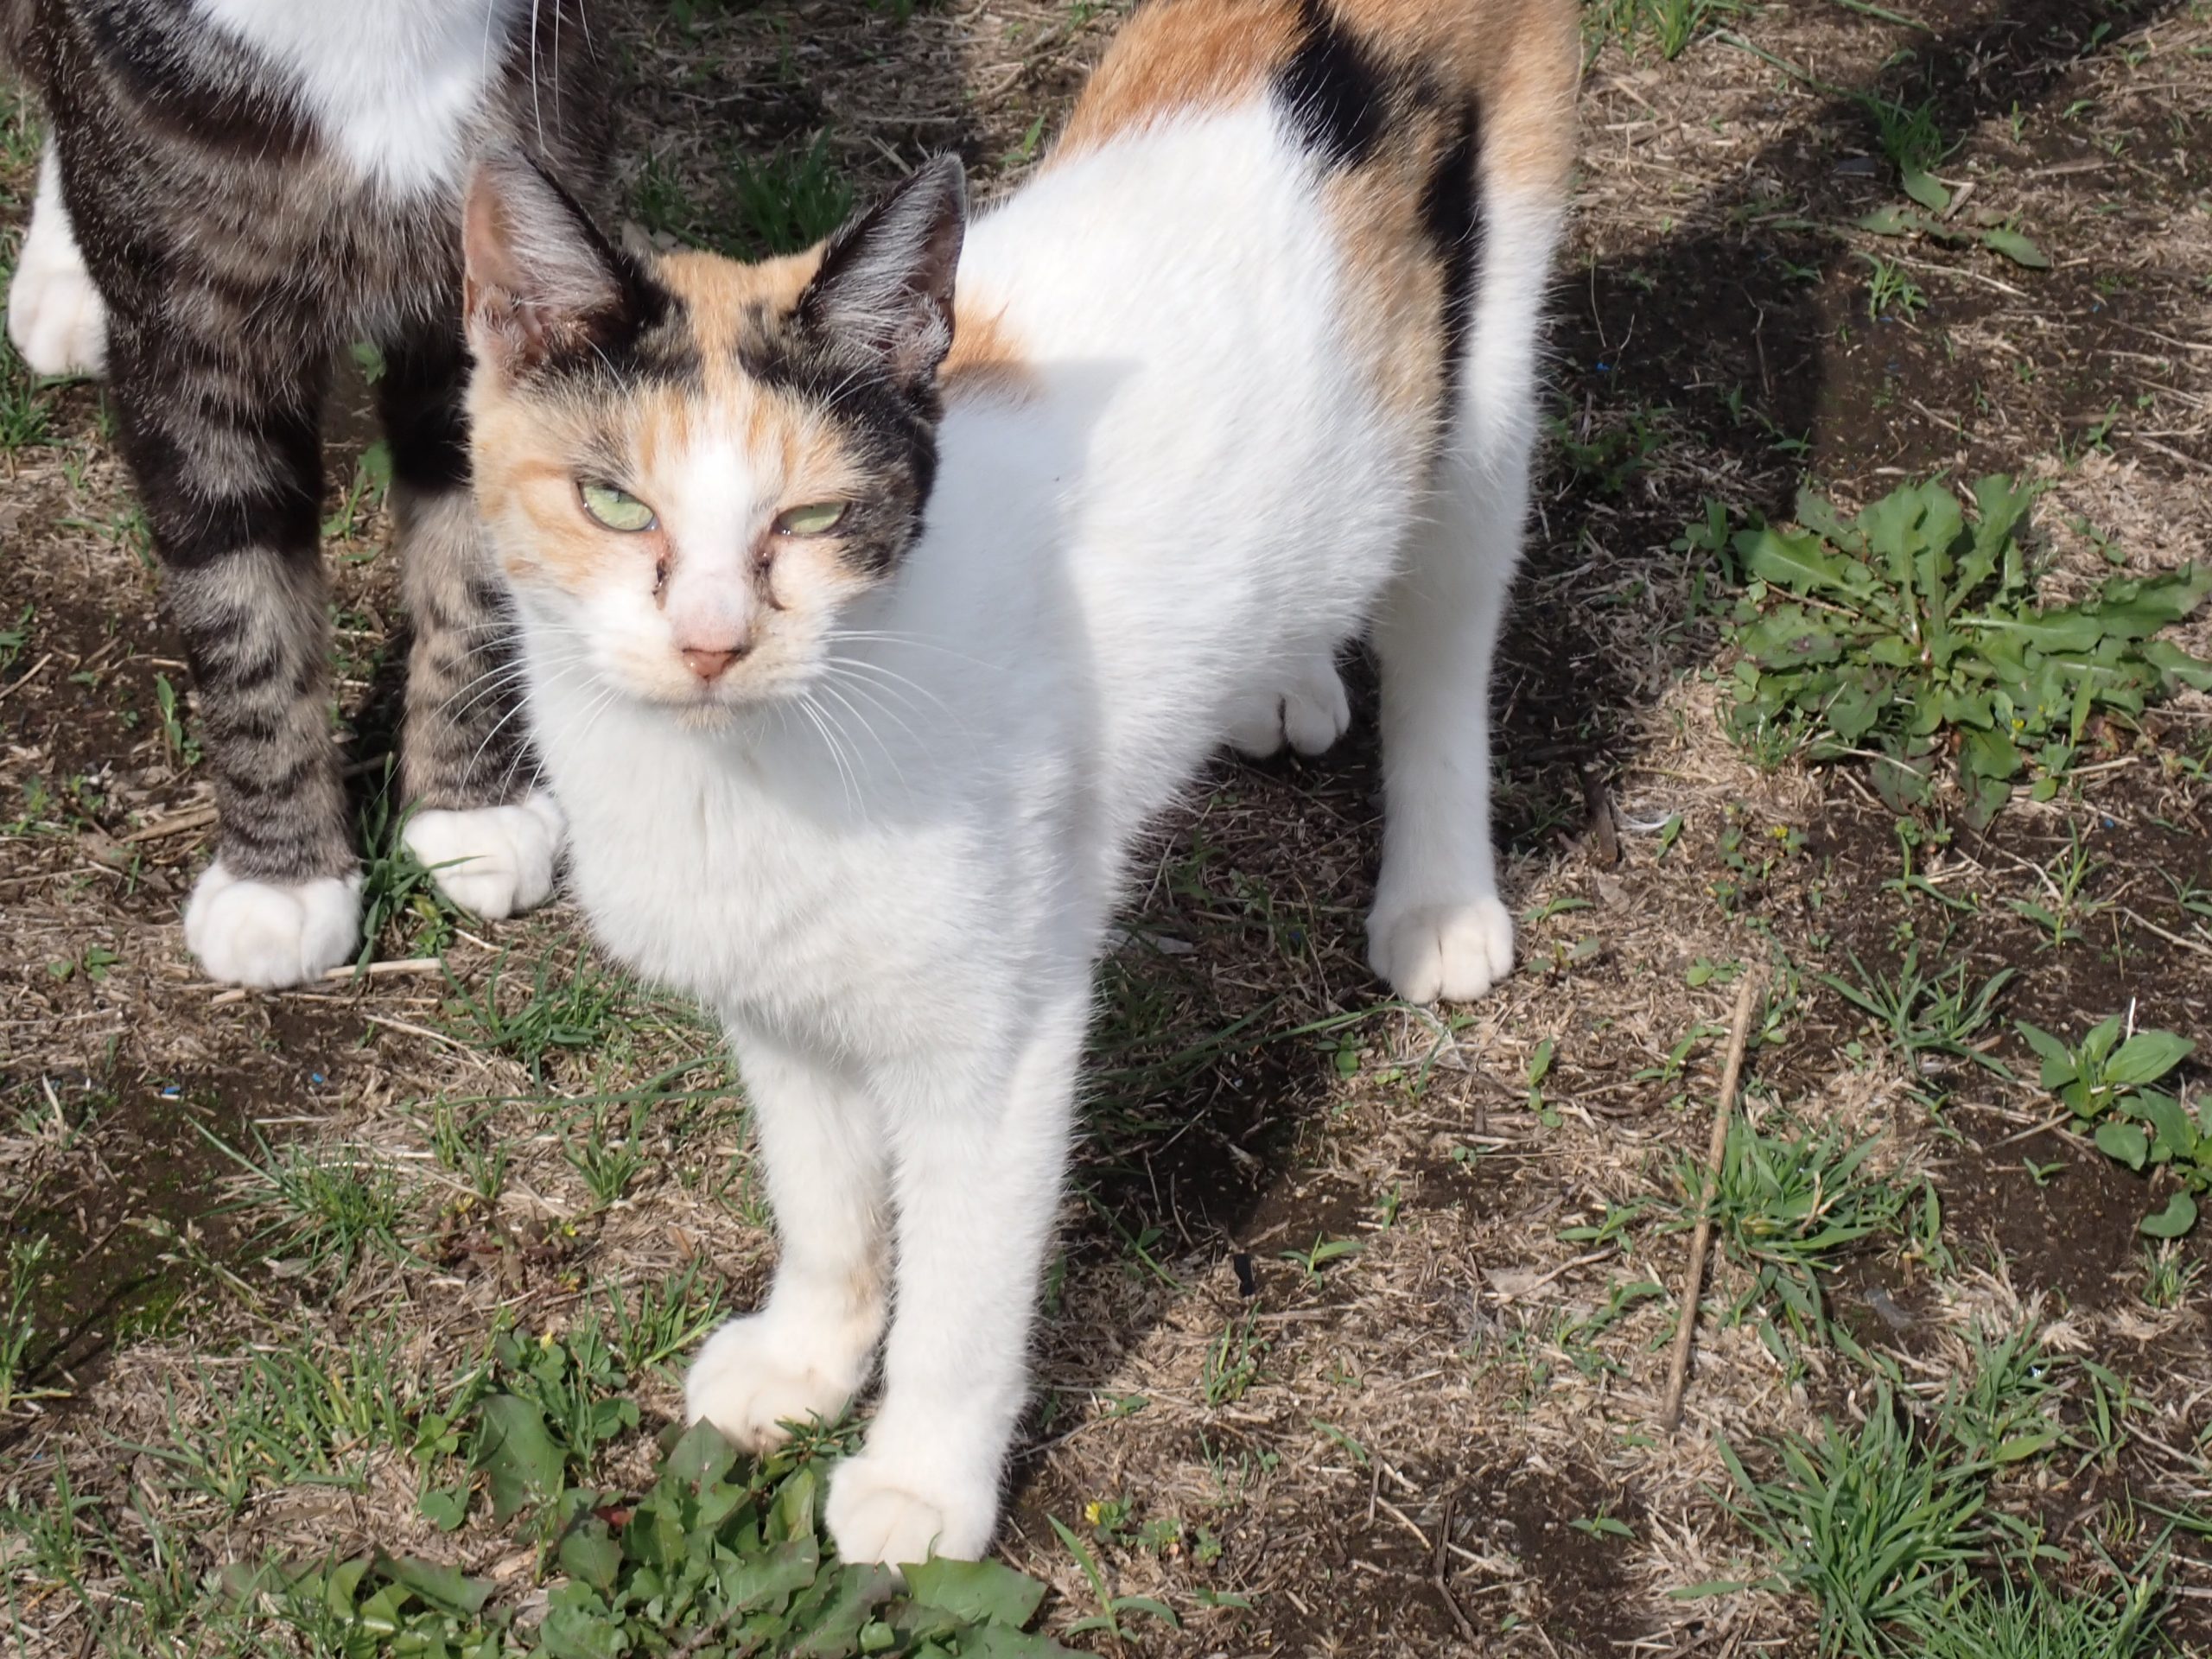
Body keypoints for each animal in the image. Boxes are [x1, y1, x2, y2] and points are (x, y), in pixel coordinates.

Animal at [460, 0, 1575, 1566]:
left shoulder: (999, 1039)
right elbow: (823, 1199)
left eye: (814, 518)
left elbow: (965, 1287)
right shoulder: (777, 1000)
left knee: (1446, 631)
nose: (712, 641)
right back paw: (1278, 673)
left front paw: (923, 1481)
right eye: (615, 503)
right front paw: (808, 1358)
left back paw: (1439, 900)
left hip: (1478, 406)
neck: (746, 767)